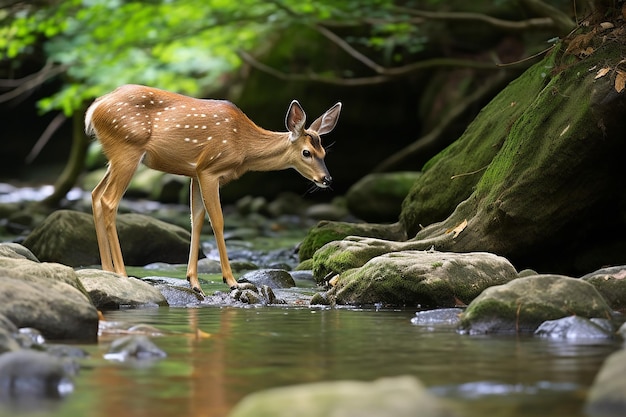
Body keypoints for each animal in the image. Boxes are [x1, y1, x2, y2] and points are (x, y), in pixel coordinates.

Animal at [84, 83, 342, 294]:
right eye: (306, 152)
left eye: (325, 152)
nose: (327, 179)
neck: (244, 148)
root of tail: (92, 110)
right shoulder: (210, 169)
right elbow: (217, 220)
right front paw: (232, 281)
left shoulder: (195, 173)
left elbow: (196, 219)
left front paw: (194, 282)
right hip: (127, 148)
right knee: (109, 200)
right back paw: (121, 273)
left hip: (115, 156)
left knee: (95, 194)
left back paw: (106, 271)